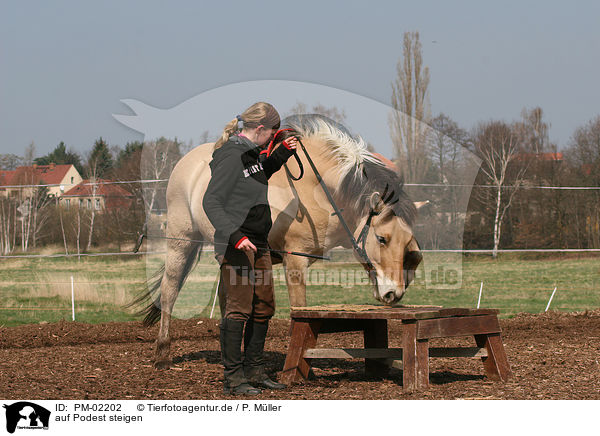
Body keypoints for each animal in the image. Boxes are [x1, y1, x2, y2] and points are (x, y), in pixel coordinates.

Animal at [134, 113, 424, 368]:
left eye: (407, 241)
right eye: (381, 238)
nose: (394, 293)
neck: (317, 188)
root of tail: (185, 163)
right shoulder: (295, 263)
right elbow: (300, 312)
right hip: (181, 241)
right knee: (169, 291)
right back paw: (162, 354)